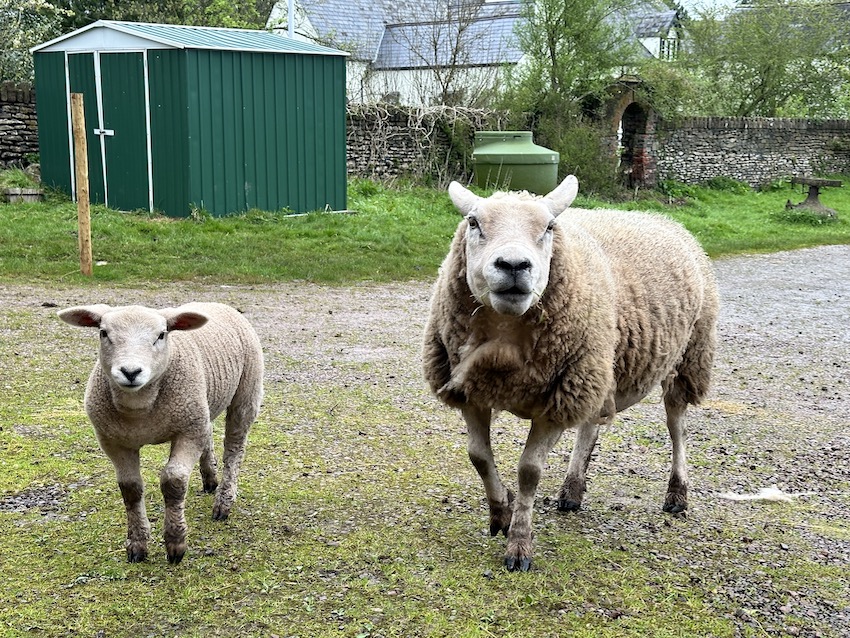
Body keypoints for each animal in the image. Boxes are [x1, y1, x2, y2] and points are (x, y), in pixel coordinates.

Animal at [58, 302, 264, 564]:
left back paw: (223, 502)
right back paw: (209, 479)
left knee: (234, 449)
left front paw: (175, 543)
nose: (131, 372)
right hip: (202, 406)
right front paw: (137, 544)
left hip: (246, 393)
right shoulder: (114, 442)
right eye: (103, 333)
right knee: (208, 432)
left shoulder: (188, 433)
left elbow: (173, 481)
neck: (140, 409)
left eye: (161, 335)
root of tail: (215, 304)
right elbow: (130, 489)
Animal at [422, 175, 718, 571]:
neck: (505, 341)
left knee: (677, 429)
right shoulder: (471, 389)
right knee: (591, 426)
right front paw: (501, 513)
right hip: (596, 369)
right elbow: (479, 457)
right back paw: (572, 490)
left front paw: (519, 546)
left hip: (686, 359)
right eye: (473, 222)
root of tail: (659, 217)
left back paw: (677, 494)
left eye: (549, 227)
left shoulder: (555, 403)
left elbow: (529, 470)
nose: (513, 265)